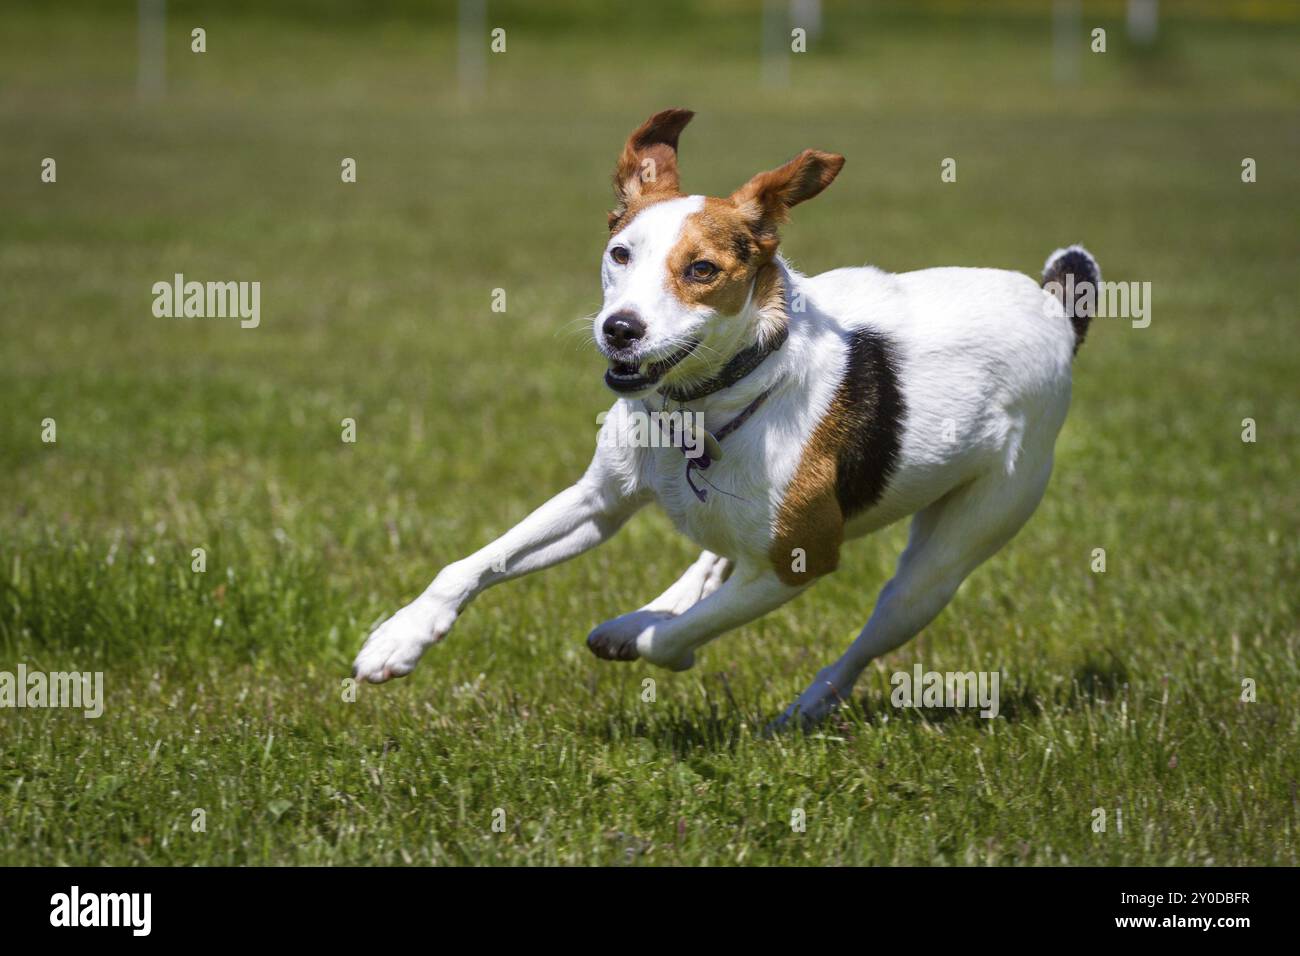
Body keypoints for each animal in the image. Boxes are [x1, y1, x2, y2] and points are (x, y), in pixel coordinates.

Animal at [351, 108, 1102, 728]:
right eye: (620, 253)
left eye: (703, 271)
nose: (620, 330)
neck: (708, 406)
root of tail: (1052, 308)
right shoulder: (600, 501)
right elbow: (473, 563)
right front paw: (400, 636)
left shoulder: (800, 563)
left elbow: (671, 641)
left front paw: (656, 639)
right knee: (715, 555)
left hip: (947, 557)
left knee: (866, 634)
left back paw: (801, 706)